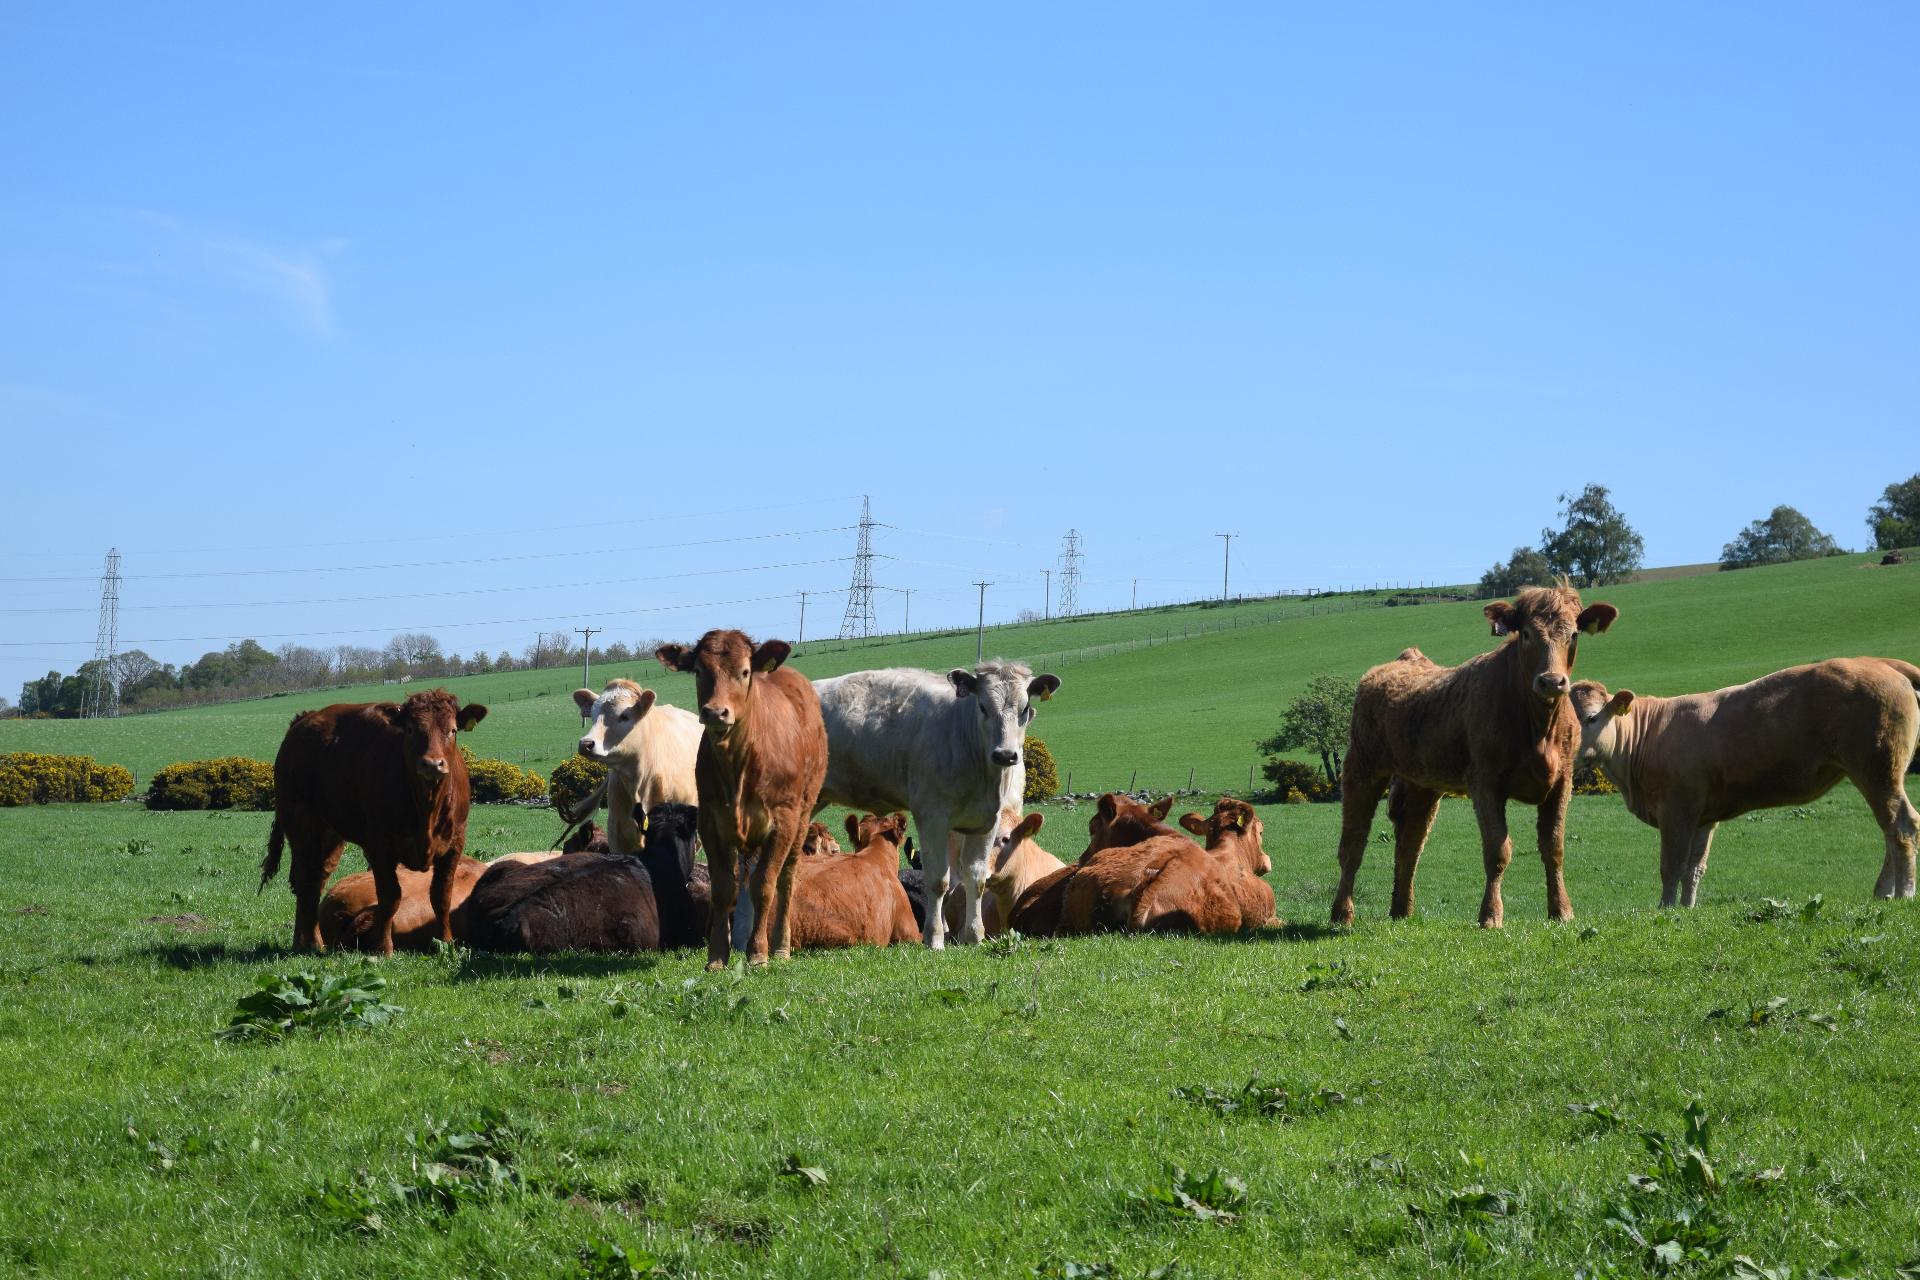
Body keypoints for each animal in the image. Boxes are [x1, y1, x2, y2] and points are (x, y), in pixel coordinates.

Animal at [655, 631, 827, 968]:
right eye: (698, 671)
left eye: (745, 672)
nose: (715, 712)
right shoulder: (710, 821)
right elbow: (724, 888)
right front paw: (717, 956)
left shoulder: (782, 821)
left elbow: (765, 886)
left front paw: (758, 952)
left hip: (803, 816)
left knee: (786, 879)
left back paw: (781, 947)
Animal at [812, 661, 1061, 948]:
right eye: (983, 706)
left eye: (1025, 708)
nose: (1005, 754)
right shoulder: (933, 817)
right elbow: (939, 880)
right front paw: (935, 937)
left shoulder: (986, 822)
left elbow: (975, 878)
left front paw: (974, 935)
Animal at [1327, 585, 1618, 929]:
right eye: (1526, 634)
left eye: (1574, 634)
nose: (1551, 681)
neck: (1539, 727)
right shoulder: (1485, 781)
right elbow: (1497, 849)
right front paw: (1491, 915)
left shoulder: (1562, 780)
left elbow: (1554, 846)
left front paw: (1561, 910)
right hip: (1362, 768)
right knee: (1353, 843)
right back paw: (1342, 912)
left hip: (1422, 785)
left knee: (1410, 843)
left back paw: (1401, 910)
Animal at [1572, 658, 1920, 906]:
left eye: (1591, 717)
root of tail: (1882, 663)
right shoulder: (1704, 816)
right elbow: (1694, 867)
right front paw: (1686, 908)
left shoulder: (1677, 810)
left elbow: (1671, 865)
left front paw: (1665, 909)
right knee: (1890, 828)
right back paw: (1884, 891)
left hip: (1877, 769)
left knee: (1902, 824)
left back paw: (1902, 892)